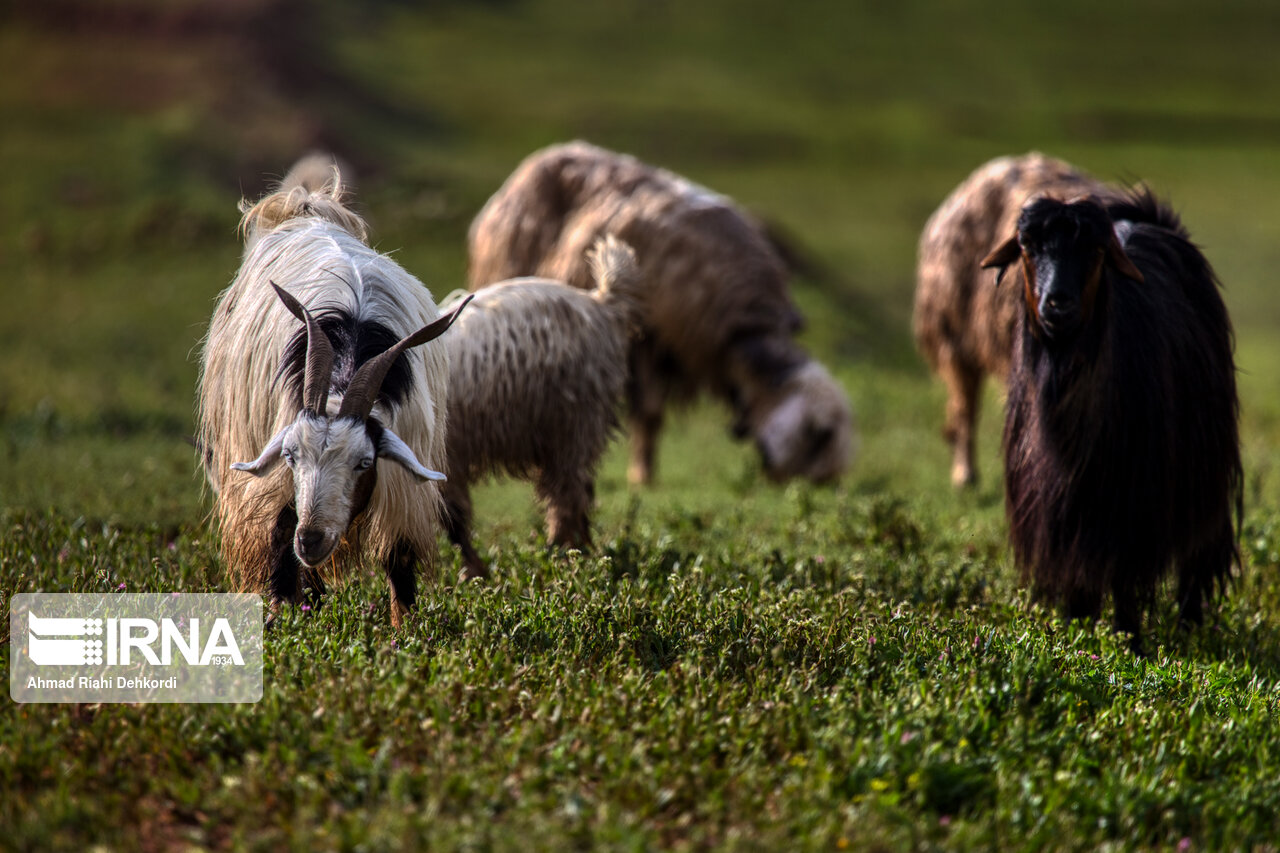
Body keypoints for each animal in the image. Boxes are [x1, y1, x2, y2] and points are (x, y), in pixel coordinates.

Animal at [202, 159, 473, 625]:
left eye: (364, 462)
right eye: (291, 456)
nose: (311, 540)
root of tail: (306, 209)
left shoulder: (404, 482)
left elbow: (400, 560)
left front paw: (405, 632)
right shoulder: (279, 472)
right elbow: (279, 536)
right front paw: (283, 619)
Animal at [442, 233, 640, 578]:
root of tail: (600, 301)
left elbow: (454, 521)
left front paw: (474, 573)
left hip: (572, 421)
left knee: (568, 491)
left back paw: (565, 552)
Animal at [468, 140, 849, 484]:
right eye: (816, 438)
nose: (784, 485)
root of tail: (541, 157)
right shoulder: (648, 336)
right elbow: (649, 412)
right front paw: (643, 478)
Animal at [977, 189, 1239, 648]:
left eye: (1096, 251)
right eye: (1027, 247)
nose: (1058, 303)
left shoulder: (1131, 502)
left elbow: (1123, 577)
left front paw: (1129, 640)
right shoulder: (1054, 511)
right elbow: (1074, 576)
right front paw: (1074, 630)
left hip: (1204, 474)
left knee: (1198, 551)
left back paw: (1188, 623)